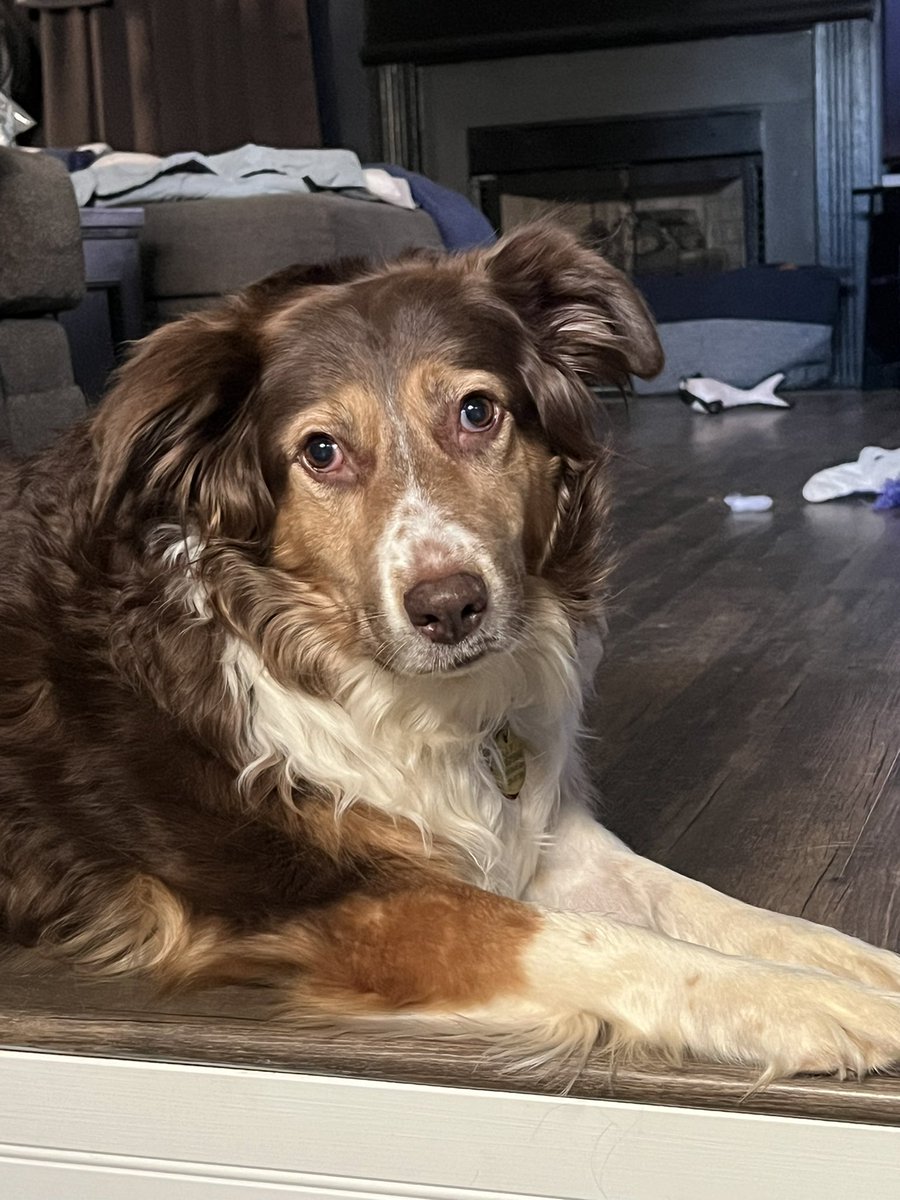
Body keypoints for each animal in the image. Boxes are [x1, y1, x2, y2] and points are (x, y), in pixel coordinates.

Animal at [1, 225, 900, 1080]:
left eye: (476, 412)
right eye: (321, 451)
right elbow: (602, 942)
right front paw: (814, 1003)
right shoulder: (339, 903)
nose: (449, 609)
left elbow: (708, 907)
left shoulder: (542, 835)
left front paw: (859, 969)